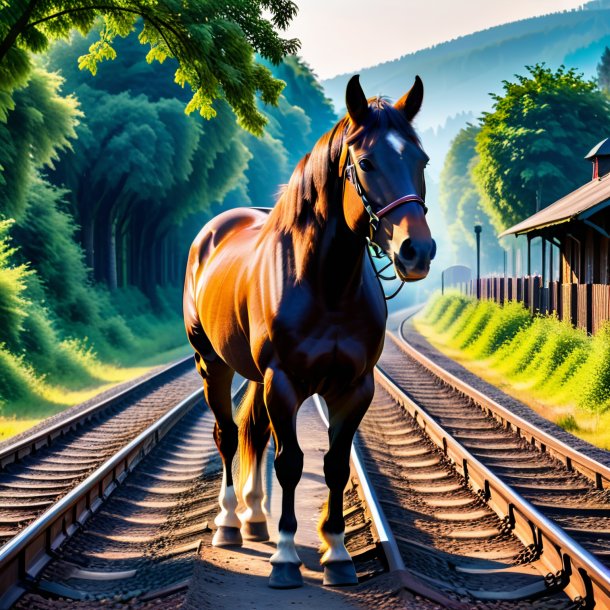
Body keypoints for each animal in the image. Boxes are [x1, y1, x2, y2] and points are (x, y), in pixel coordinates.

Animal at [183, 73, 434, 588]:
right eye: (366, 162)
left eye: (420, 160)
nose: (416, 250)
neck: (326, 284)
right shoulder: (283, 382)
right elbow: (290, 463)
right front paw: (284, 558)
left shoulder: (354, 387)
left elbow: (335, 465)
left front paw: (336, 554)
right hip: (211, 364)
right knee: (226, 434)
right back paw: (229, 523)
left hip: (254, 375)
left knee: (252, 432)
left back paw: (255, 516)